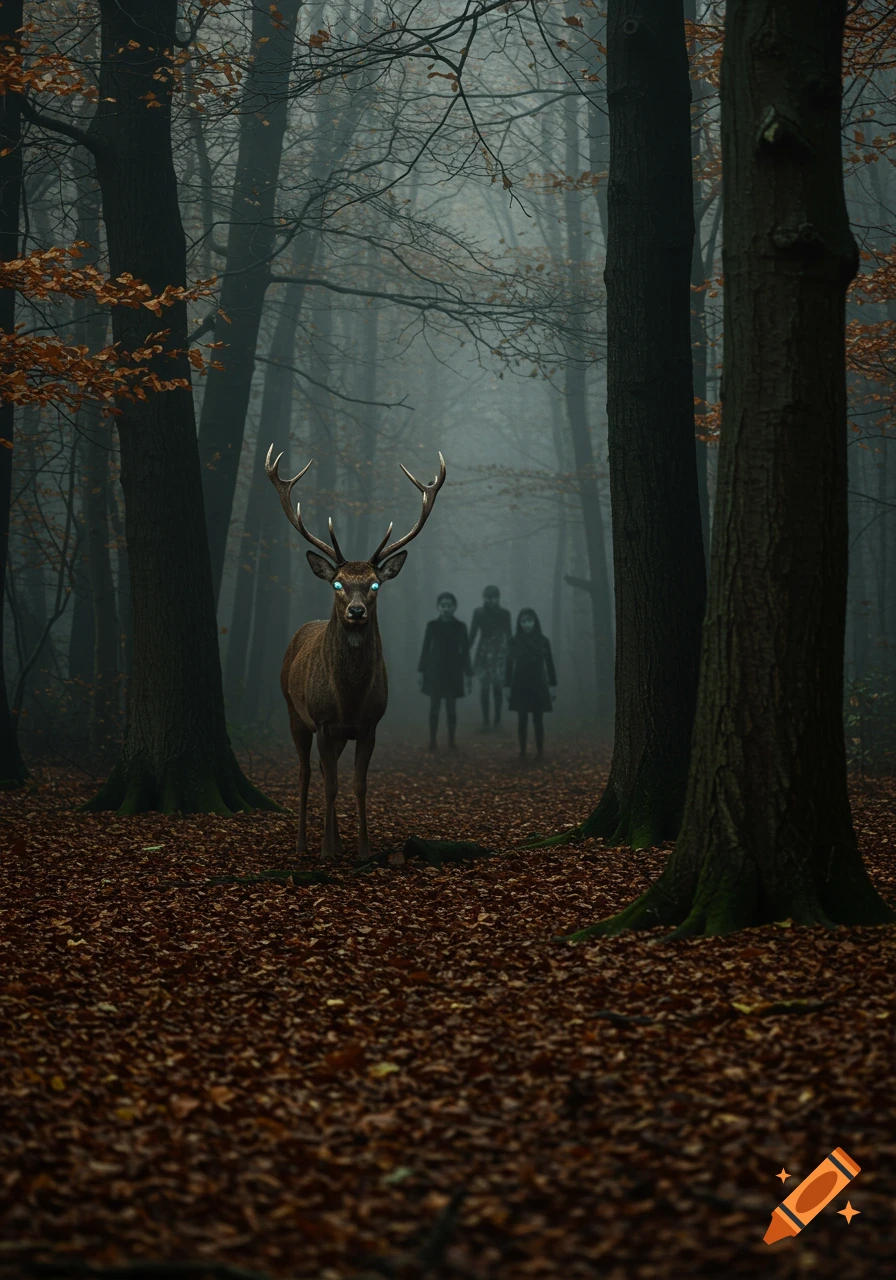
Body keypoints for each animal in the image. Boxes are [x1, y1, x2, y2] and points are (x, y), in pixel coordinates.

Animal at [265, 446, 446, 858]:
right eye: (337, 583)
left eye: (375, 583)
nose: (357, 611)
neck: (348, 698)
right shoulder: (322, 720)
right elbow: (330, 785)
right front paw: (326, 851)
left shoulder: (370, 724)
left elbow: (359, 785)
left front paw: (362, 849)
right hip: (293, 711)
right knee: (306, 774)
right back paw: (304, 843)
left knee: (323, 769)